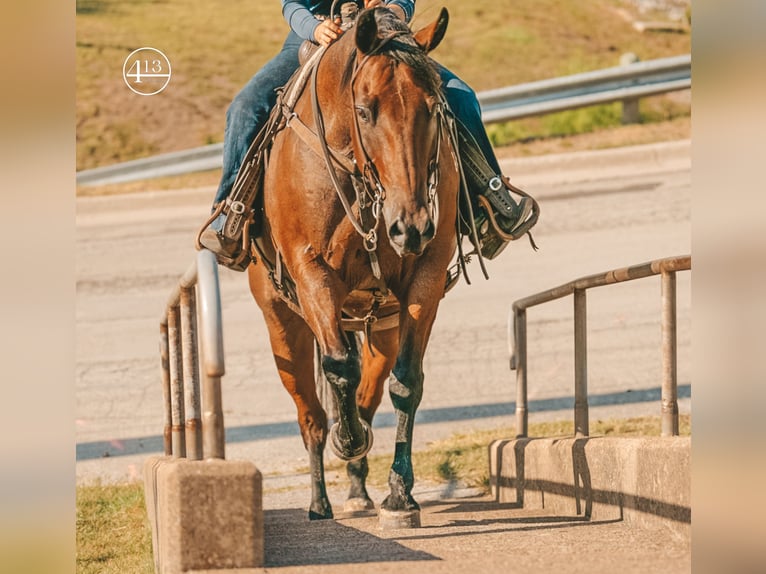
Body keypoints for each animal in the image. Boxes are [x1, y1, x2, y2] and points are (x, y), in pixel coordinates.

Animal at [249, 5, 460, 532]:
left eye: (434, 107)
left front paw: (400, 496)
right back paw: (320, 500)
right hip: (283, 324)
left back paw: (359, 488)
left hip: (380, 322)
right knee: (311, 414)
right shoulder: (312, 273)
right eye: (365, 110)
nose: (410, 225)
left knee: (368, 394)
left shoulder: (425, 275)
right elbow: (339, 368)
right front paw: (349, 442)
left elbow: (407, 382)